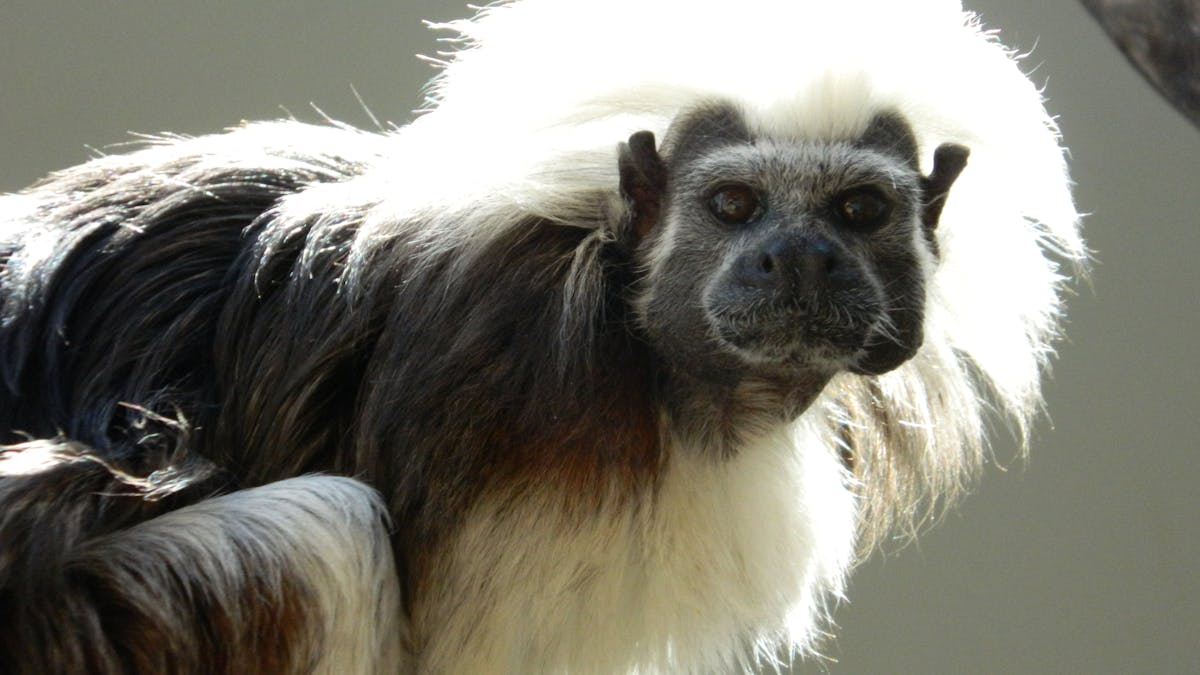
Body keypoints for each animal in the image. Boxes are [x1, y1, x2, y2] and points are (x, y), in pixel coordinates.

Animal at [0, 0, 1084, 672]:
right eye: (733, 205)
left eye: (859, 211)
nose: (800, 258)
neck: (634, 345)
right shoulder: (511, 414)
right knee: (323, 537)